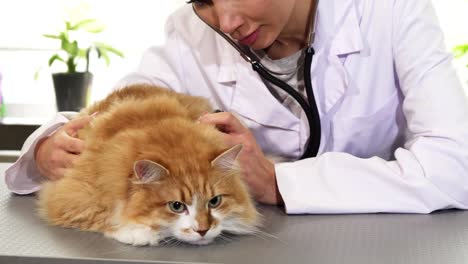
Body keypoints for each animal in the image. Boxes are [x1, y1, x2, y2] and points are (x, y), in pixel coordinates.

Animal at [37, 84, 260, 245]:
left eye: (214, 201)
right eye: (176, 206)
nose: (203, 230)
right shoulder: (71, 196)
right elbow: (106, 217)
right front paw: (138, 232)